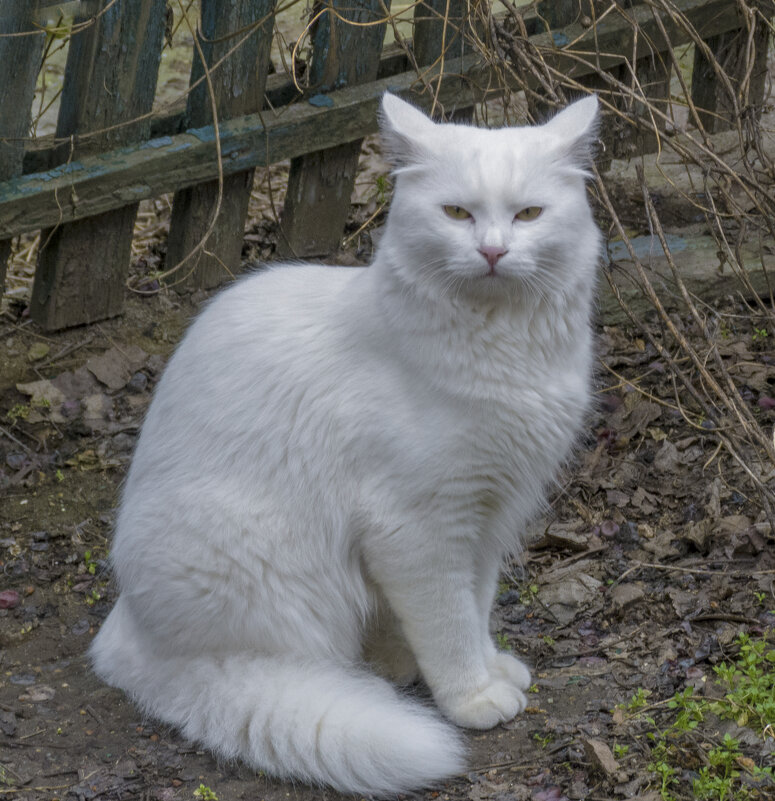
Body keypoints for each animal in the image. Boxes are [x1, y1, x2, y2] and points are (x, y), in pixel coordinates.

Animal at [89, 92, 600, 792]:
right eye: (457, 213)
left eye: (528, 215)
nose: (493, 251)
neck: (502, 348)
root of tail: (126, 637)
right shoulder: (422, 526)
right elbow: (450, 623)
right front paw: (471, 695)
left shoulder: (488, 516)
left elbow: (474, 604)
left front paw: (484, 665)